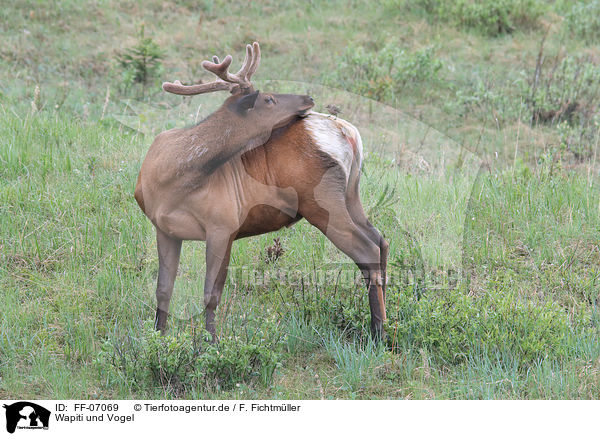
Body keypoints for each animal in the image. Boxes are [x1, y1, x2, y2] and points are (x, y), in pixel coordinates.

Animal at [134, 41, 390, 340]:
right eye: (268, 99)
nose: (308, 97)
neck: (170, 179)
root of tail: (348, 132)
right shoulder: (165, 229)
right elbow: (163, 289)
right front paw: (158, 338)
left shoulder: (223, 224)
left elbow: (211, 294)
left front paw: (212, 343)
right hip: (350, 195)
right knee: (380, 240)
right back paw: (387, 321)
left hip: (321, 202)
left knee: (367, 250)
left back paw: (378, 332)